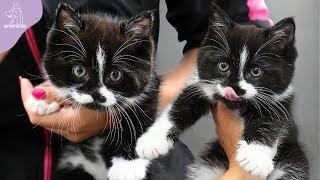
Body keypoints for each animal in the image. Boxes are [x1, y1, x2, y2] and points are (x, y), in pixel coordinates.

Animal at [26, 3, 164, 180]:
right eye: (79, 70)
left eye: (115, 74)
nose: (96, 94)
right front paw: (46, 99)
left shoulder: (151, 84)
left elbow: (140, 117)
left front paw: (127, 167)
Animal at [136, 3, 310, 179]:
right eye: (223, 65)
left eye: (256, 71)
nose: (235, 88)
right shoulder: (202, 85)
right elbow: (180, 106)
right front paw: (152, 140)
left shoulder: (280, 102)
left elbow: (270, 121)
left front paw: (255, 156)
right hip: (209, 165)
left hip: (292, 162)